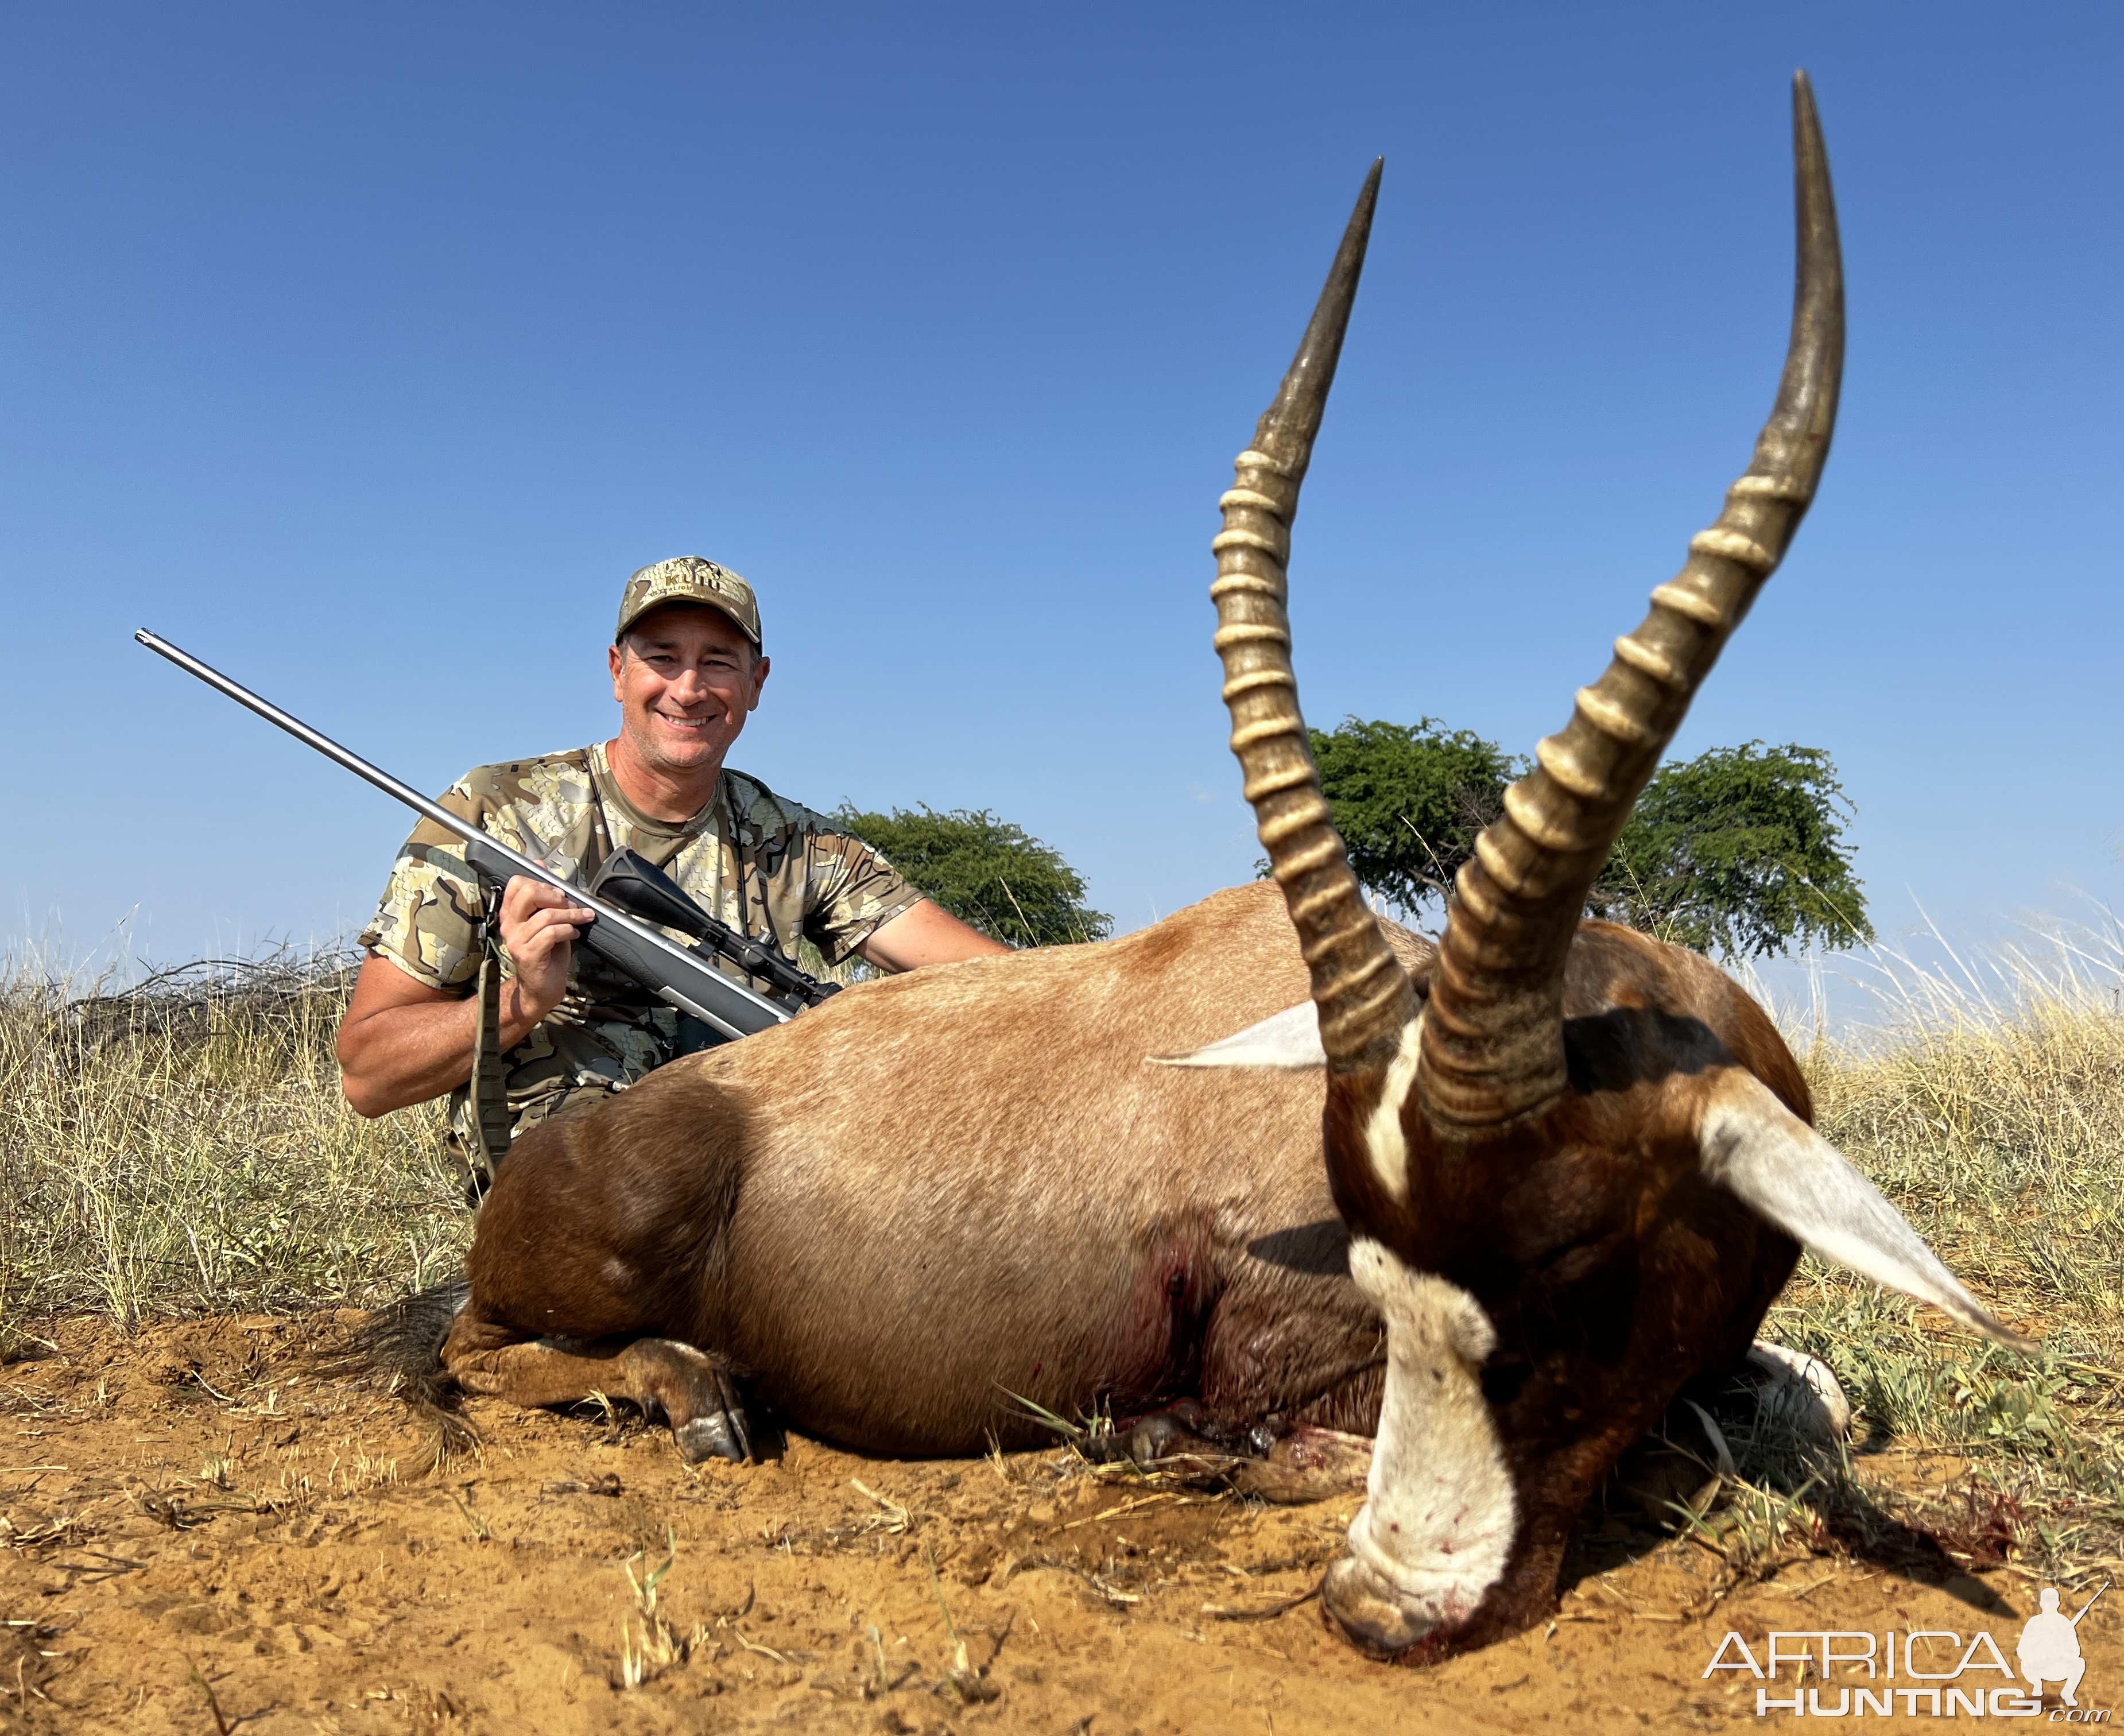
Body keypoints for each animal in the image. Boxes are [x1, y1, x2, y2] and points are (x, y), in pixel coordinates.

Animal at [414, 67, 2022, 1657]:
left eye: (1573, 1261)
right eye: (1375, 1260)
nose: (1385, 1607)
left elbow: (1803, 1396)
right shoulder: (1288, 1378)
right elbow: (1330, 1448)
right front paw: (1158, 1443)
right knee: (474, 1347)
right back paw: (697, 1393)